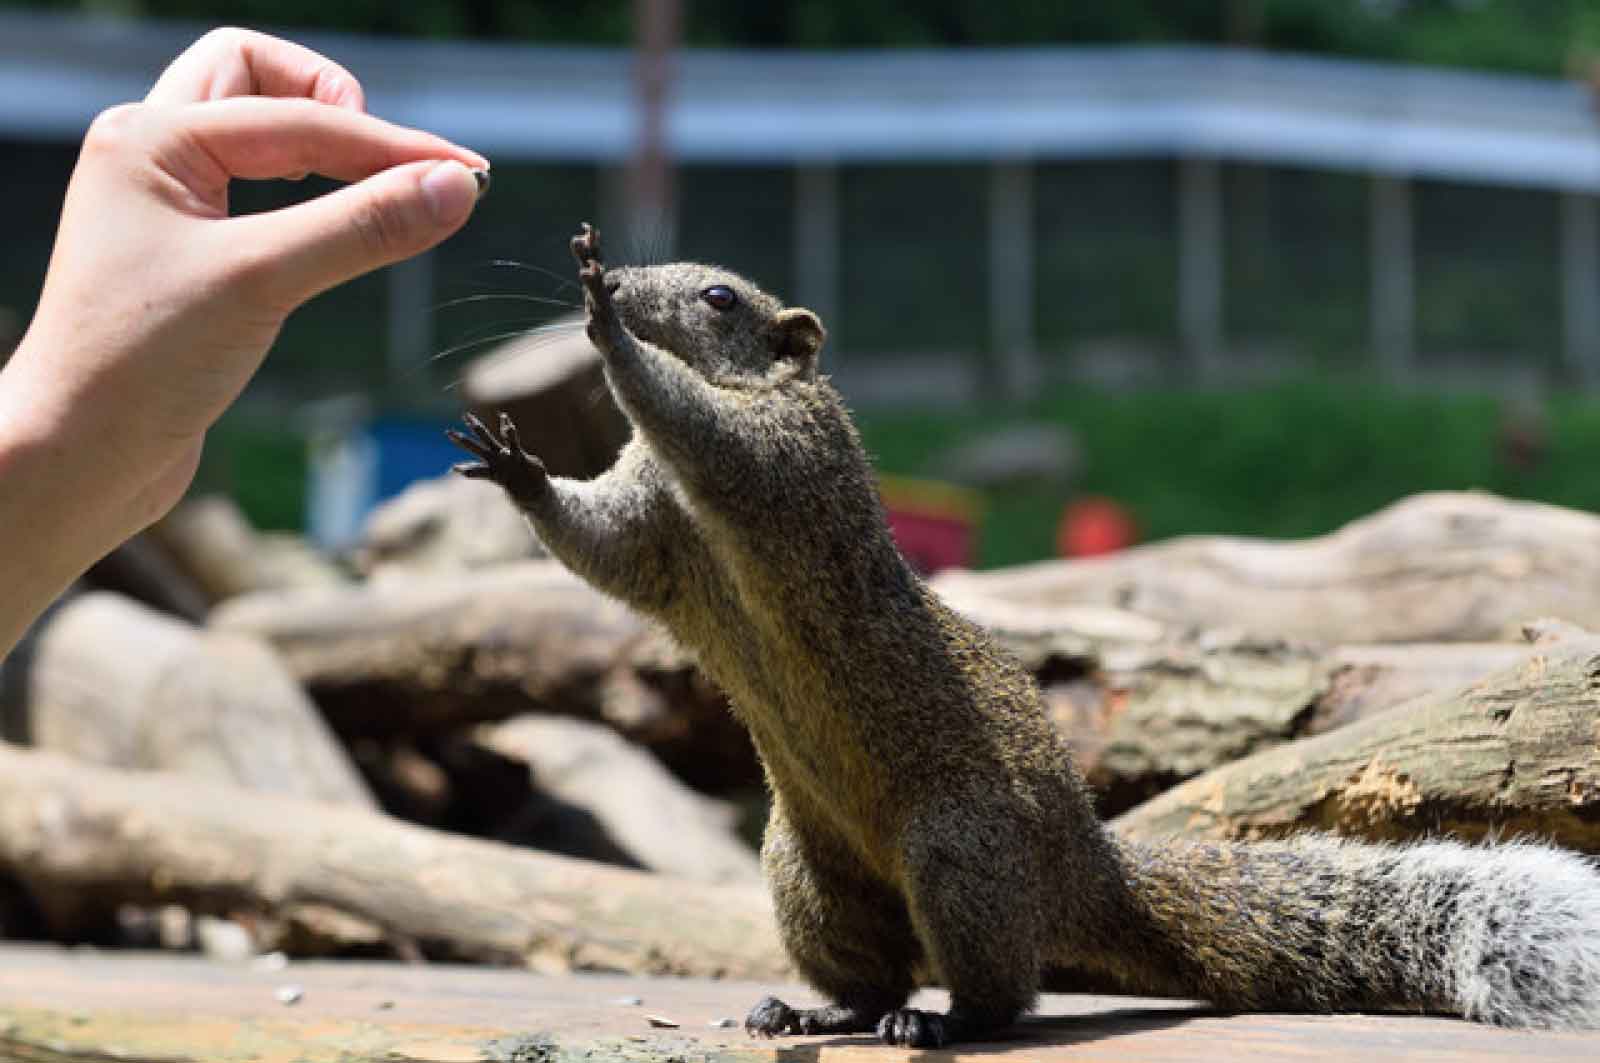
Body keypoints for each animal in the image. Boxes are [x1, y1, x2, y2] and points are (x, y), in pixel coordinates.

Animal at [444, 224, 1600, 1043]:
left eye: (720, 296)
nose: (629, 291)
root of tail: (1085, 868)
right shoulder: (653, 532)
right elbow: (601, 545)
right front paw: (520, 468)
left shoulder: (787, 461)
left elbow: (718, 444)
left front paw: (608, 329)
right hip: (808, 874)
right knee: (872, 970)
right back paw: (822, 1010)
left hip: (958, 853)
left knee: (1003, 992)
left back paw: (942, 1023)